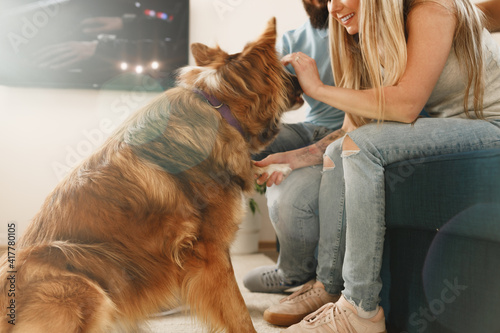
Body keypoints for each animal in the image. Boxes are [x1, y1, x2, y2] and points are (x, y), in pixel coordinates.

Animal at [0, 18, 302, 332]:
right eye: (285, 69)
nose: (302, 84)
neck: (219, 107)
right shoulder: (212, 250)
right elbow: (239, 313)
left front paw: (277, 166)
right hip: (88, 286)